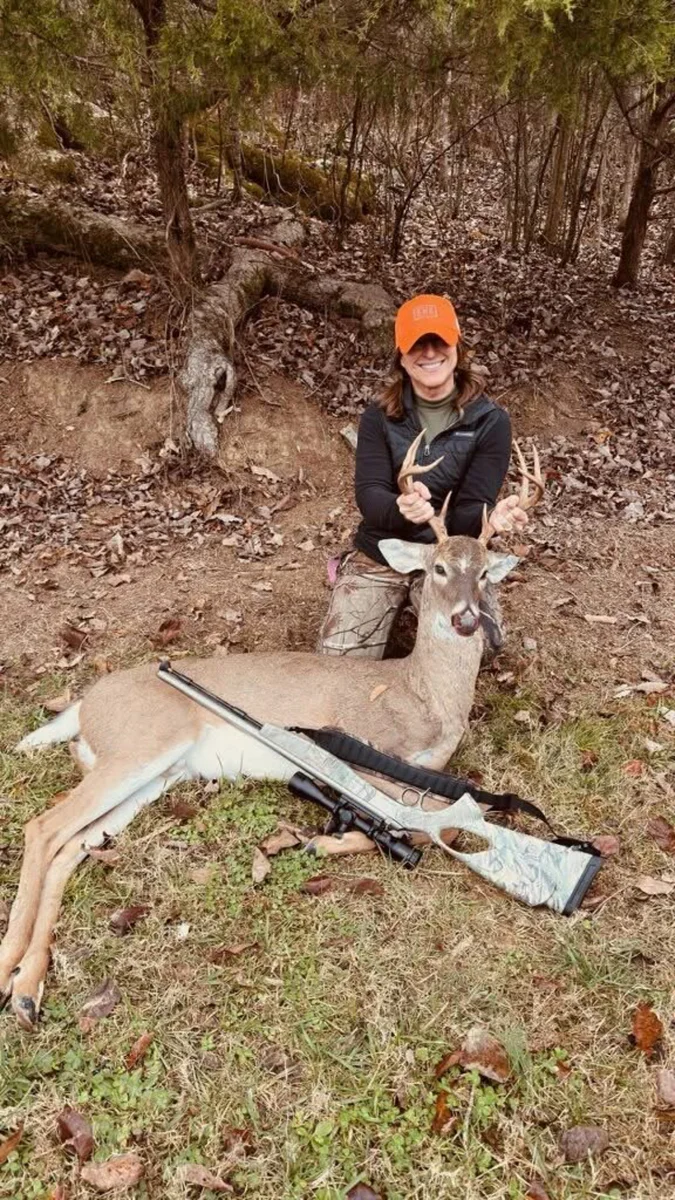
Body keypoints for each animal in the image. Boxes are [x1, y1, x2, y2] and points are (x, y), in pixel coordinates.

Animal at [1, 441, 543, 1029]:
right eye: (439, 568)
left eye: (486, 573)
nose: (467, 620)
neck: (422, 695)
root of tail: (83, 705)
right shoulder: (375, 753)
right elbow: (436, 827)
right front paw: (326, 841)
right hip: (141, 745)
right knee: (43, 827)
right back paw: (10, 966)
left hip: (154, 775)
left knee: (69, 847)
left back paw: (27, 989)